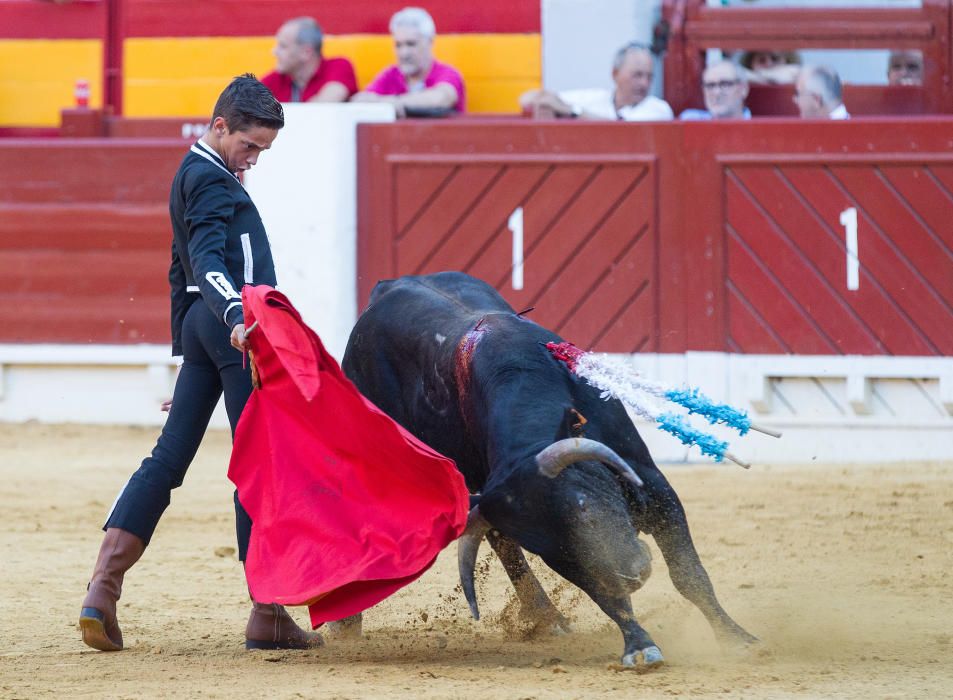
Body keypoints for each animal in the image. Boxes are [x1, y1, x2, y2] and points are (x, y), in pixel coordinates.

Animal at [338, 270, 756, 664]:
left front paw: (736, 639)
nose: (632, 572)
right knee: (501, 542)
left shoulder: (651, 483)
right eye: (546, 548)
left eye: (583, 506)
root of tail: (388, 285)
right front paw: (639, 644)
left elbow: (689, 575)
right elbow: (604, 593)